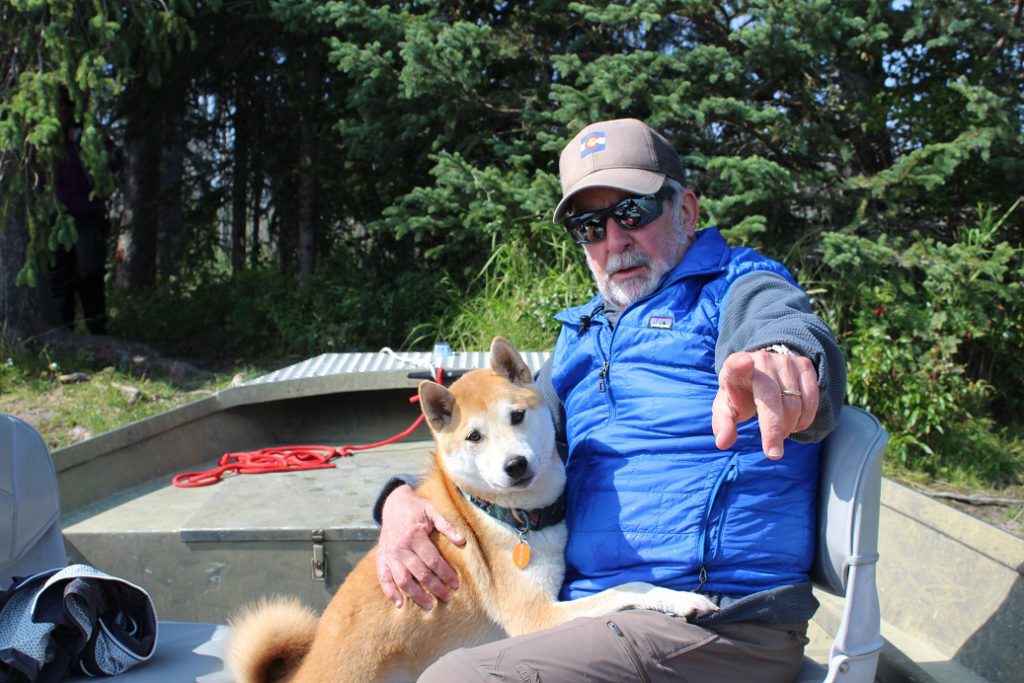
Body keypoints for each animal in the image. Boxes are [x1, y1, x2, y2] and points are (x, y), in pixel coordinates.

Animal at [228, 335, 716, 683]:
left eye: (516, 415)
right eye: (474, 436)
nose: (515, 465)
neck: (506, 515)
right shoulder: (534, 616)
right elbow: (627, 588)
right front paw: (682, 598)